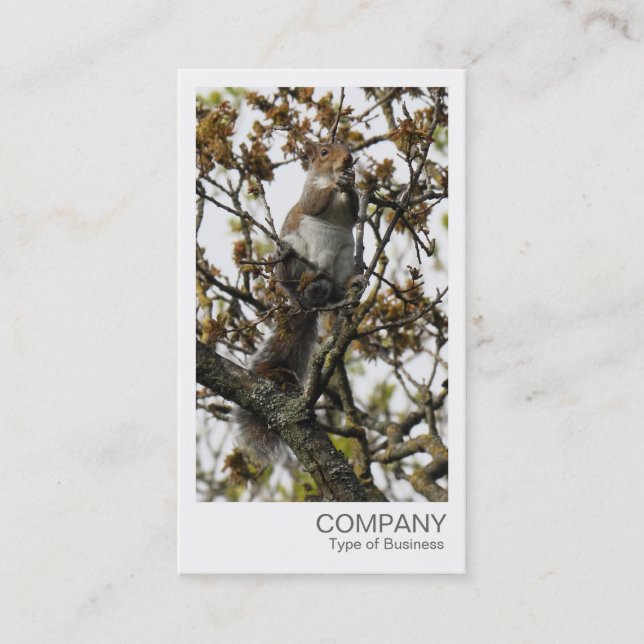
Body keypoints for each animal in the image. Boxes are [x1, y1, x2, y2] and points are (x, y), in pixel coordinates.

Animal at [235, 139, 363, 464]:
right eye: (324, 152)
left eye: (347, 146)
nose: (347, 160)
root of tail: (305, 301)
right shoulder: (309, 194)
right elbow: (313, 202)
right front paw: (336, 182)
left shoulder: (352, 214)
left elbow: (355, 211)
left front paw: (351, 182)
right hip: (294, 255)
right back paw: (310, 278)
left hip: (345, 254)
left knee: (337, 288)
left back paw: (347, 285)